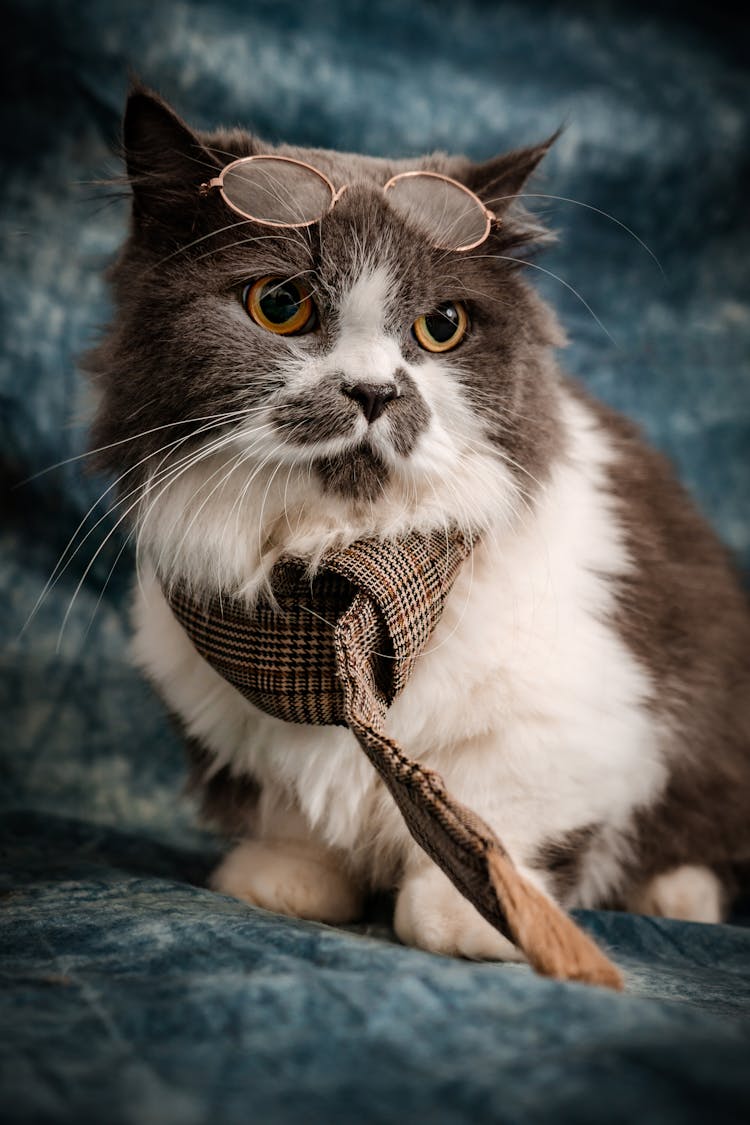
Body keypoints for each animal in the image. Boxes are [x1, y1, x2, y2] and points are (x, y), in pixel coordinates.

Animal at [88, 87, 750, 963]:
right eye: (280, 306)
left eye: (442, 326)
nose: (375, 392)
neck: (343, 592)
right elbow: (291, 815)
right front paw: (285, 882)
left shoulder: (575, 726)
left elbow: (492, 819)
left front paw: (476, 921)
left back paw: (678, 895)